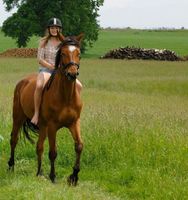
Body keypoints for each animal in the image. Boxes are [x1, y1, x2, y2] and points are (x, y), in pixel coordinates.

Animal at [7, 33, 83, 186]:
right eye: (63, 53)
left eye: (79, 53)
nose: (72, 74)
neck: (66, 97)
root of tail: (22, 82)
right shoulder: (53, 126)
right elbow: (53, 152)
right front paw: (53, 177)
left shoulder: (74, 123)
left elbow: (79, 146)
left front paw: (74, 177)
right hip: (18, 118)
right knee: (14, 140)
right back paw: (11, 166)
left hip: (42, 126)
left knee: (39, 147)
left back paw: (39, 173)